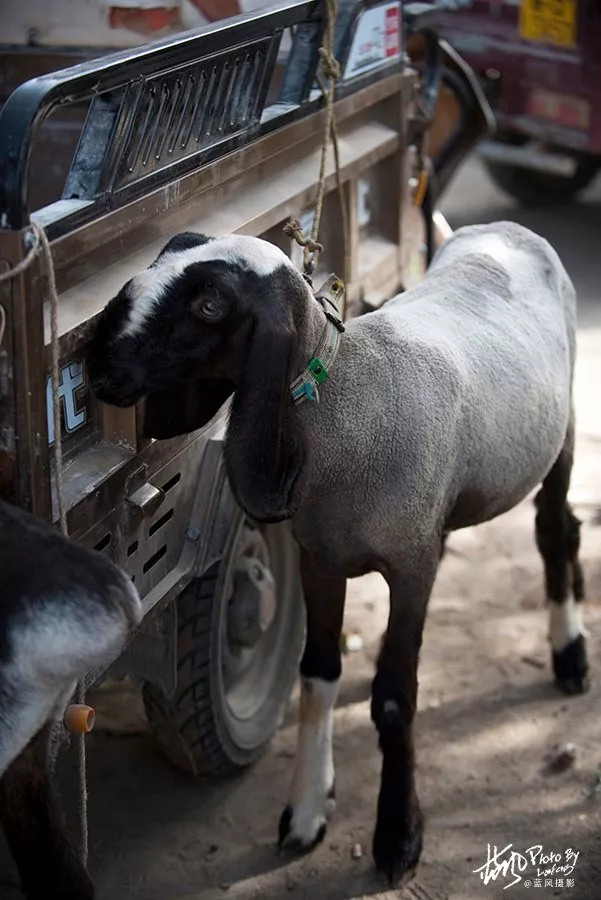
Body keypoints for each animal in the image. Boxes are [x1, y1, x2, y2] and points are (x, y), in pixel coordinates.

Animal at [86, 225, 588, 884]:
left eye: (210, 305)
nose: (93, 356)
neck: (345, 404)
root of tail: (504, 230)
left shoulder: (410, 568)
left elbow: (396, 699)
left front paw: (398, 838)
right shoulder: (318, 558)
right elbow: (317, 673)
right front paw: (304, 810)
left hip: (563, 432)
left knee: (558, 531)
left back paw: (571, 653)